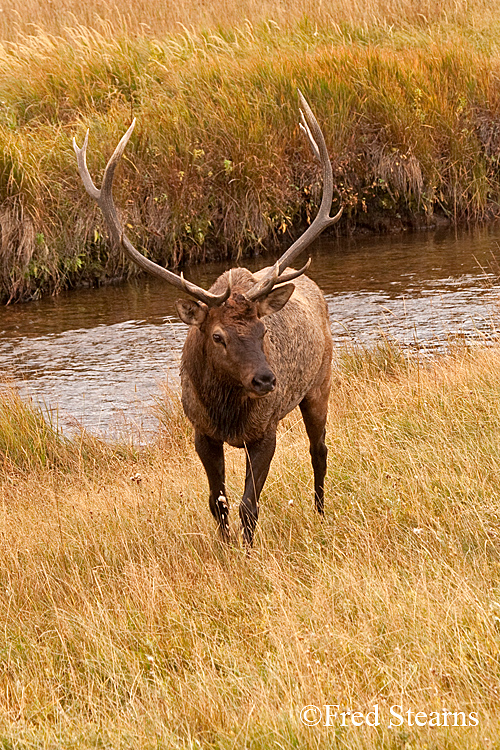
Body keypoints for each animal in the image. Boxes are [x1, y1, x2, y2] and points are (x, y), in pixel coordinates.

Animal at [73, 92, 340, 548]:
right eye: (217, 336)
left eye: (263, 330)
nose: (266, 380)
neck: (226, 412)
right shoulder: (202, 432)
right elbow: (218, 503)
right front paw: (226, 546)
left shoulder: (264, 430)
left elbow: (249, 504)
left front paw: (246, 551)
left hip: (319, 383)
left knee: (318, 450)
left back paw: (321, 512)